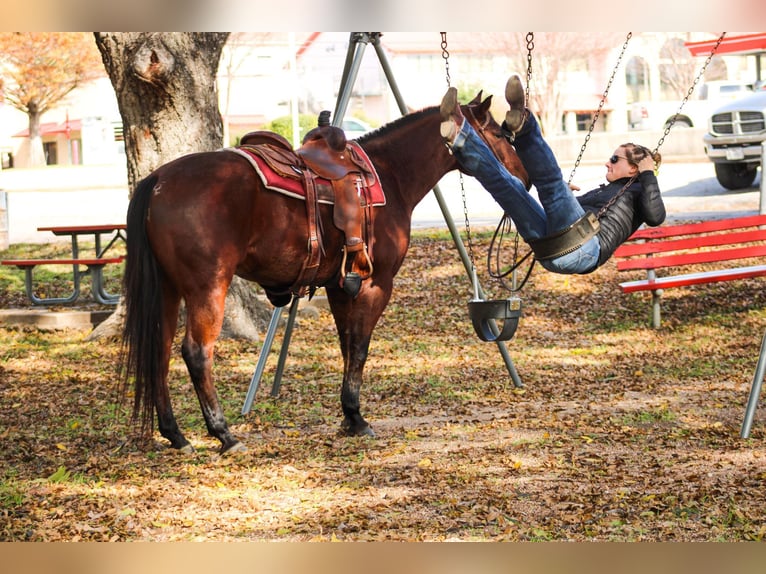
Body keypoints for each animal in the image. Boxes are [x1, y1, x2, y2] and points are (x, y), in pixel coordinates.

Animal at [121, 92, 528, 456]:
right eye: (499, 133)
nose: (523, 177)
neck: (390, 174)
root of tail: (158, 180)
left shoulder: (340, 286)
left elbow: (347, 344)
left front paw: (348, 415)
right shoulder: (376, 284)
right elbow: (360, 347)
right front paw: (357, 417)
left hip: (168, 290)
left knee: (159, 350)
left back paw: (175, 434)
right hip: (208, 288)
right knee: (196, 352)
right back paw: (224, 434)